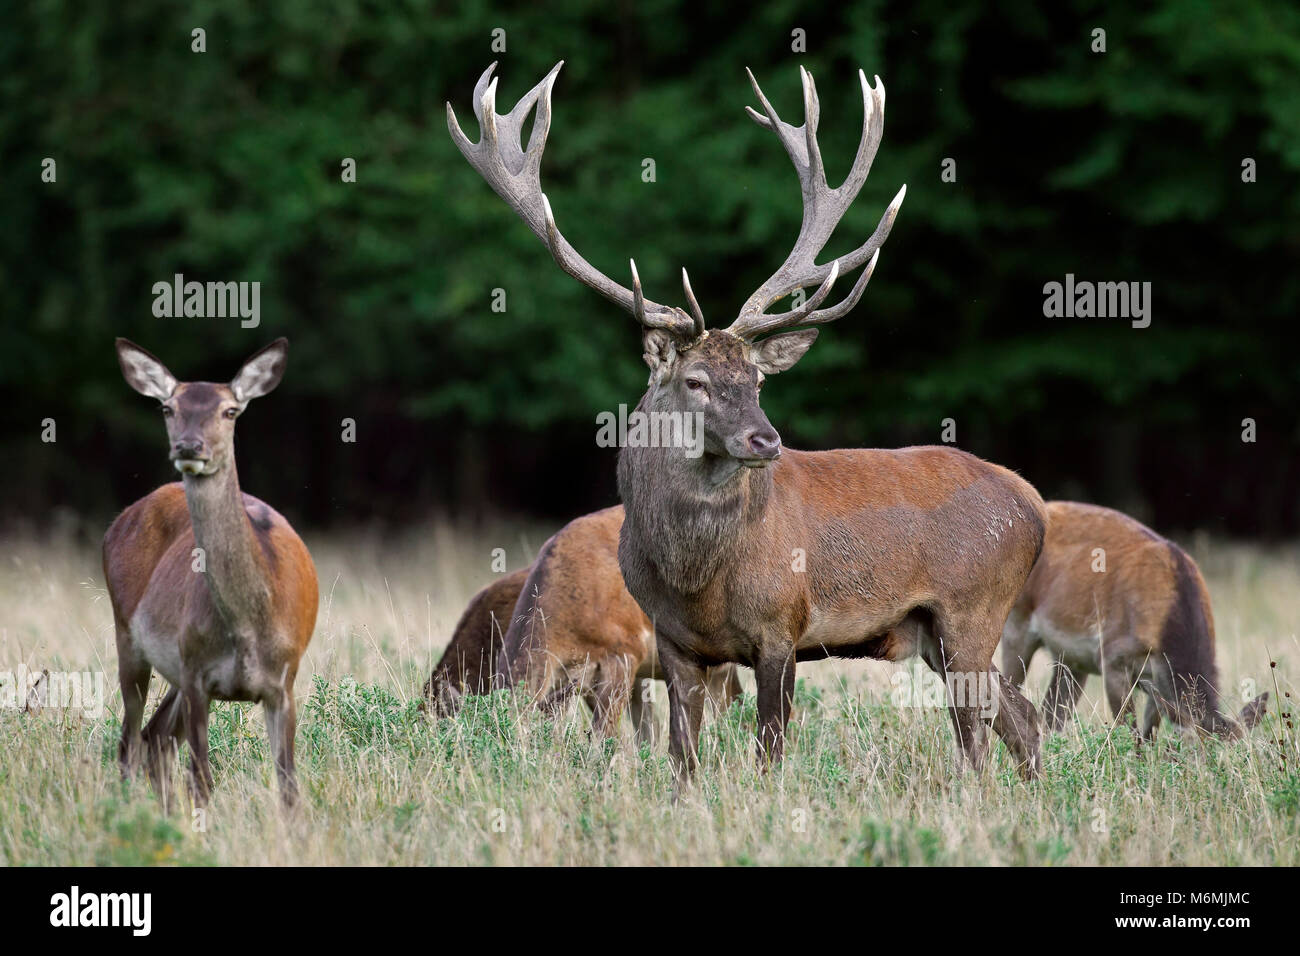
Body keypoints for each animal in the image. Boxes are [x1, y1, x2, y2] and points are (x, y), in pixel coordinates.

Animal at [100, 338, 315, 806]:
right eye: (168, 407)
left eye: (230, 410)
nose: (188, 446)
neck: (249, 627)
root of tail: (119, 520)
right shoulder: (198, 674)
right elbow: (201, 779)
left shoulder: (284, 681)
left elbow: (288, 785)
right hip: (129, 635)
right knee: (129, 739)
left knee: (155, 736)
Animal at [452, 61, 1050, 785]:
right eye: (695, 382)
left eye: (759, 380)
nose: (766, 440)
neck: (696, 579)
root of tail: (1033, 504)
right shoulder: (673, 643)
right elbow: (680, 756)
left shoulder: (781, 627)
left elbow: (769, 750)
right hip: (939, 632)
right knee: (1020, 719)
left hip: (972, 608)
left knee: (980, 734)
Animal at [998, 504, 1263, 743]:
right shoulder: (1112, 657)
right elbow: (1129, 732)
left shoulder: (1157, 681)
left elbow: (1149, 734)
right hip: (1015, 624)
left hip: (1071, 660)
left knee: (1051, 713)